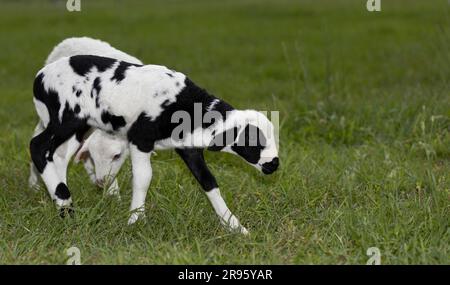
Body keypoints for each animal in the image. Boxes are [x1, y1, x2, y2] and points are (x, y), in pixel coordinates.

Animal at [30, 53, 278, 233]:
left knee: (59, 156)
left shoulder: (188, 147)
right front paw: (135, 220)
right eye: (252, 140)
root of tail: (40, 77)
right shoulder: (141, 138)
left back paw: (61, 202)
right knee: (38, 146)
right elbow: (143, 178)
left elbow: (208, 181)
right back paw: (65, 204)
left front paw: (235, 226)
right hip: (65, 118)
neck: (187, 106)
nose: (274, 164)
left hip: (80, 126)